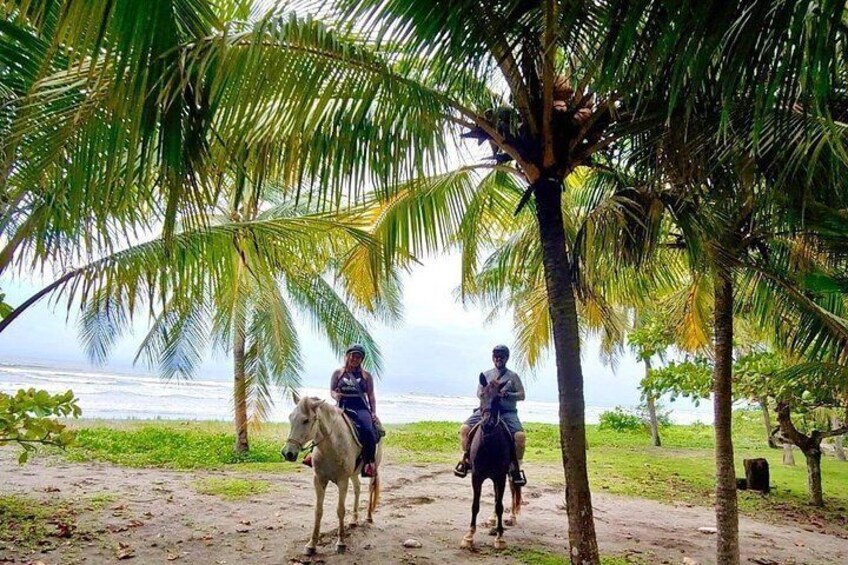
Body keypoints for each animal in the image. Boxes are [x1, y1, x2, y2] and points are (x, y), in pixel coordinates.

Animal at [280, 396, 382, 556]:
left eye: (306, 420)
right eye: (291, 418)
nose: (288, 453)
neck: (331, 446)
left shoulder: (342, 481)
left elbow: (340, 510)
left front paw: (341, 543)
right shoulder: (319, 480)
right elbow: (318, 511)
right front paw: (312, 545)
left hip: (374, 468)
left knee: (371, 488)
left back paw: (368, 517)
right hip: (353, 473)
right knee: (357, 489)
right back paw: (354, 520)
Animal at [460, 372, 520, 548]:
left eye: (498, 398)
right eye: (482, 395)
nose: (487, 423)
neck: (488, 444)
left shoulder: (500, 477)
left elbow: (499, 505)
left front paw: (500, 538)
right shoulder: (476, 476)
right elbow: (475, 505)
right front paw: (469, 536)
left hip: (508, 477)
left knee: (511, 493)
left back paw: (510, 519)